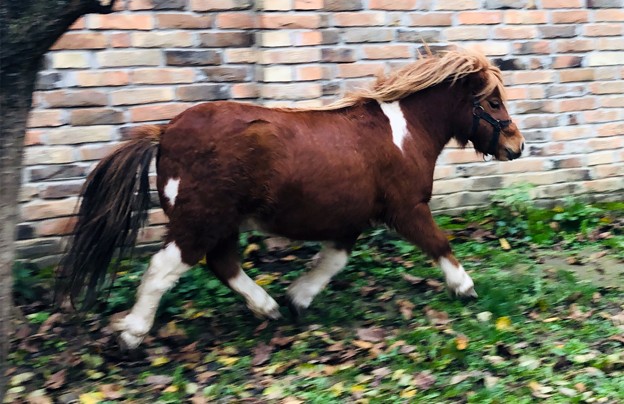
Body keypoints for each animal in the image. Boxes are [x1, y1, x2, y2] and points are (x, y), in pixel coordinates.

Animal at [56, 48, 525, 350]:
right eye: (492, 101)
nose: (517, 146)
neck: (405, 133)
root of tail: (164, 133)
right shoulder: (407, 209)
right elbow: (439, 243)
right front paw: (465, 288)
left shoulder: (350, 220)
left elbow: (333, 261)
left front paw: (298, 298)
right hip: (201, 219)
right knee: (164, 268)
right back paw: (133, 332)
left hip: (220, 222)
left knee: (222, 264)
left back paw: (268, 309)